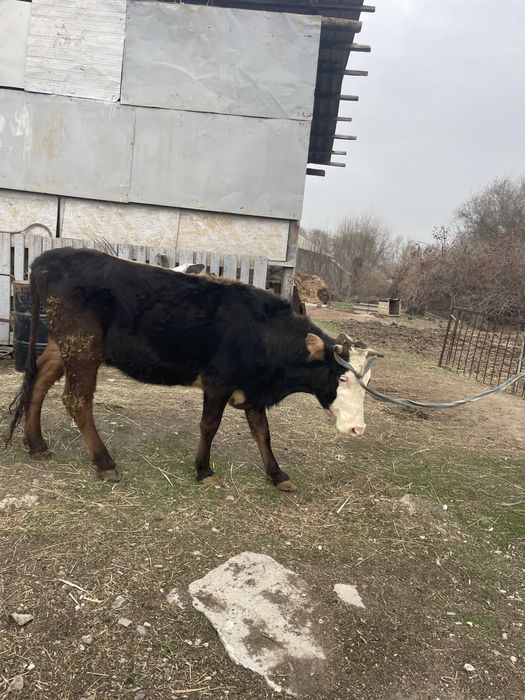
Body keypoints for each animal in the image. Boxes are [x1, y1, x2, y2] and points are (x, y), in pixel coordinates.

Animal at [7, 248, 381, 491]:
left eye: (367, 380)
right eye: (341, 377)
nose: (358, 429)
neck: (262, 332)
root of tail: (44, 260)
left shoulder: (252, 388)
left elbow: (262, 432)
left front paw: (277, 475)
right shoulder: (219, 382)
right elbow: (209, 426)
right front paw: (204, 470)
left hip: (64, 345)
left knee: (40, 377)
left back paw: (36, 443)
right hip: (82, 346)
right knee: (77, 399)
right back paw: (104, 462)